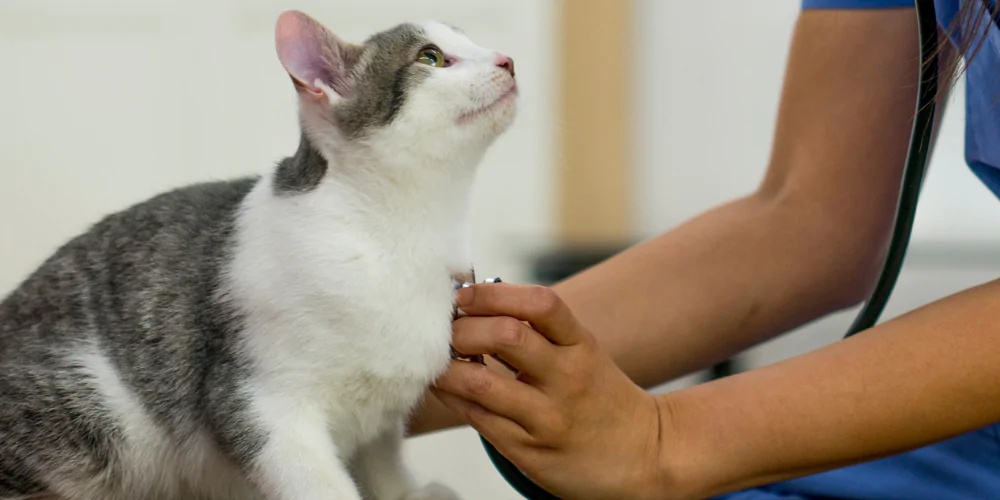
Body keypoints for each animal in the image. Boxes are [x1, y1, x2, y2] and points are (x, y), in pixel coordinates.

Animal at [0, 10, 516, 500]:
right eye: (431, 57)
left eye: (472, 41)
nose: (506, 60)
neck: (399, 236)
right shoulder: (259, 401)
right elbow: (318, 484)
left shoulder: (382, 413)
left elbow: (381, 456)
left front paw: (405, 491)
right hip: (95, 409)